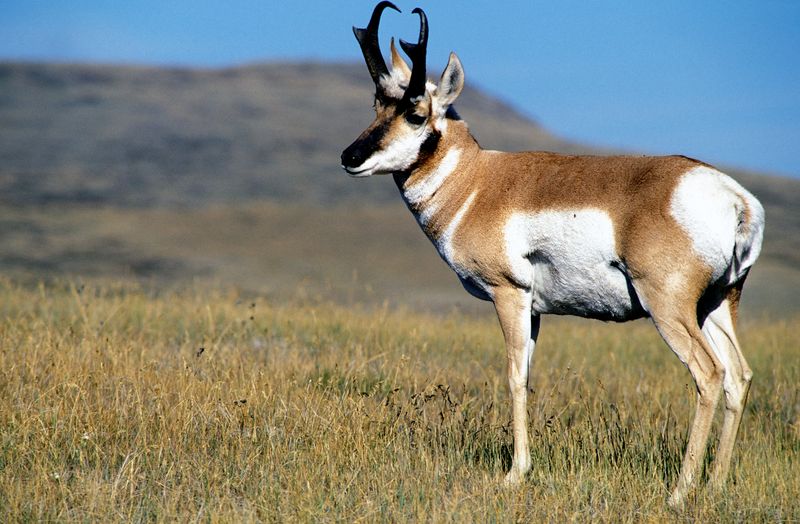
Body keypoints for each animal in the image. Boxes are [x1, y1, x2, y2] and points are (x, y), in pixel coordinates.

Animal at [340, 2, 764, 506]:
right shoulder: (536, 310)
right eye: (377, 105)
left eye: (416, 113)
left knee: (709, 374)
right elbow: (527, 374)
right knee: (738, 375)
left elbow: (513, 377)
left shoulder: (509, 295)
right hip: (716, 305)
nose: (350, 156)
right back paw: (715, 484)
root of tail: (733, 197)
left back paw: (679, 492)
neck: (477, 183)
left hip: (669, 308)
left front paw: (514, 473)